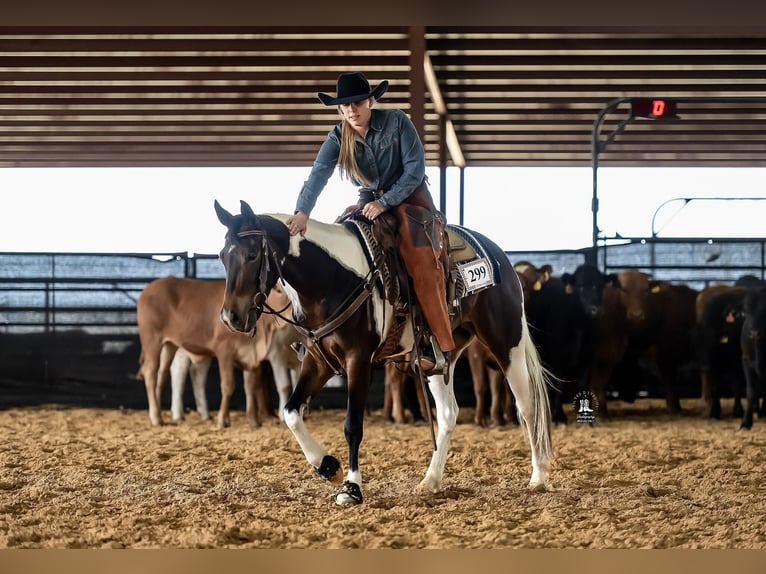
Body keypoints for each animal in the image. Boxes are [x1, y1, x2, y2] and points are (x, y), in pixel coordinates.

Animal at [136, 276, 300, 429]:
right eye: (278, 290)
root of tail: (150, 288)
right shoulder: (225, 351)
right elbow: (228, 385)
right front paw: (222, 420)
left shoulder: (251, 355)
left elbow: (250, 387)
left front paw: (254, 421)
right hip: (152, 340)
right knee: (151, 373)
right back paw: (156, 417)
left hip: (169, 345)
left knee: (162, 374)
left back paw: (158, 411)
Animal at [214, 199, 553, 505]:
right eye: (221, 256)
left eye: (252, 254)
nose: (230, 317)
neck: (331, 278)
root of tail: (499, 255)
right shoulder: (317, 361)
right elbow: (291, 412)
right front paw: (328, 467)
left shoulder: (358, 360)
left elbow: (353, 425)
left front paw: (351, 487)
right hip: (441, 355)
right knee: (448, 413)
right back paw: (431, 480)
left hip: (506, 343)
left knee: (527, 406)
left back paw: (538, 476)